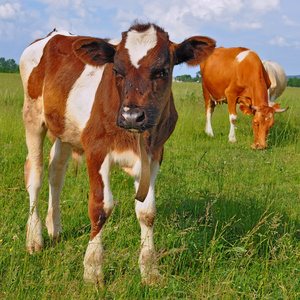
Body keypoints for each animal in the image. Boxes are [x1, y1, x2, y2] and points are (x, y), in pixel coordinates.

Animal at [19, 22, 216, 284]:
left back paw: (56, 229)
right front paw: (93, 270)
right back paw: (34, 238)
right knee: (36, 174)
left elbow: (147, 212)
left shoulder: (154, 155)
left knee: (56, 173)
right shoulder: (96, 149)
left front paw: (150, 271)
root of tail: (55, 34)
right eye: (116, 70)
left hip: (64, 130)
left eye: (162, 71)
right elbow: (100, 208)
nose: (131, 116)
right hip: (32, 115)